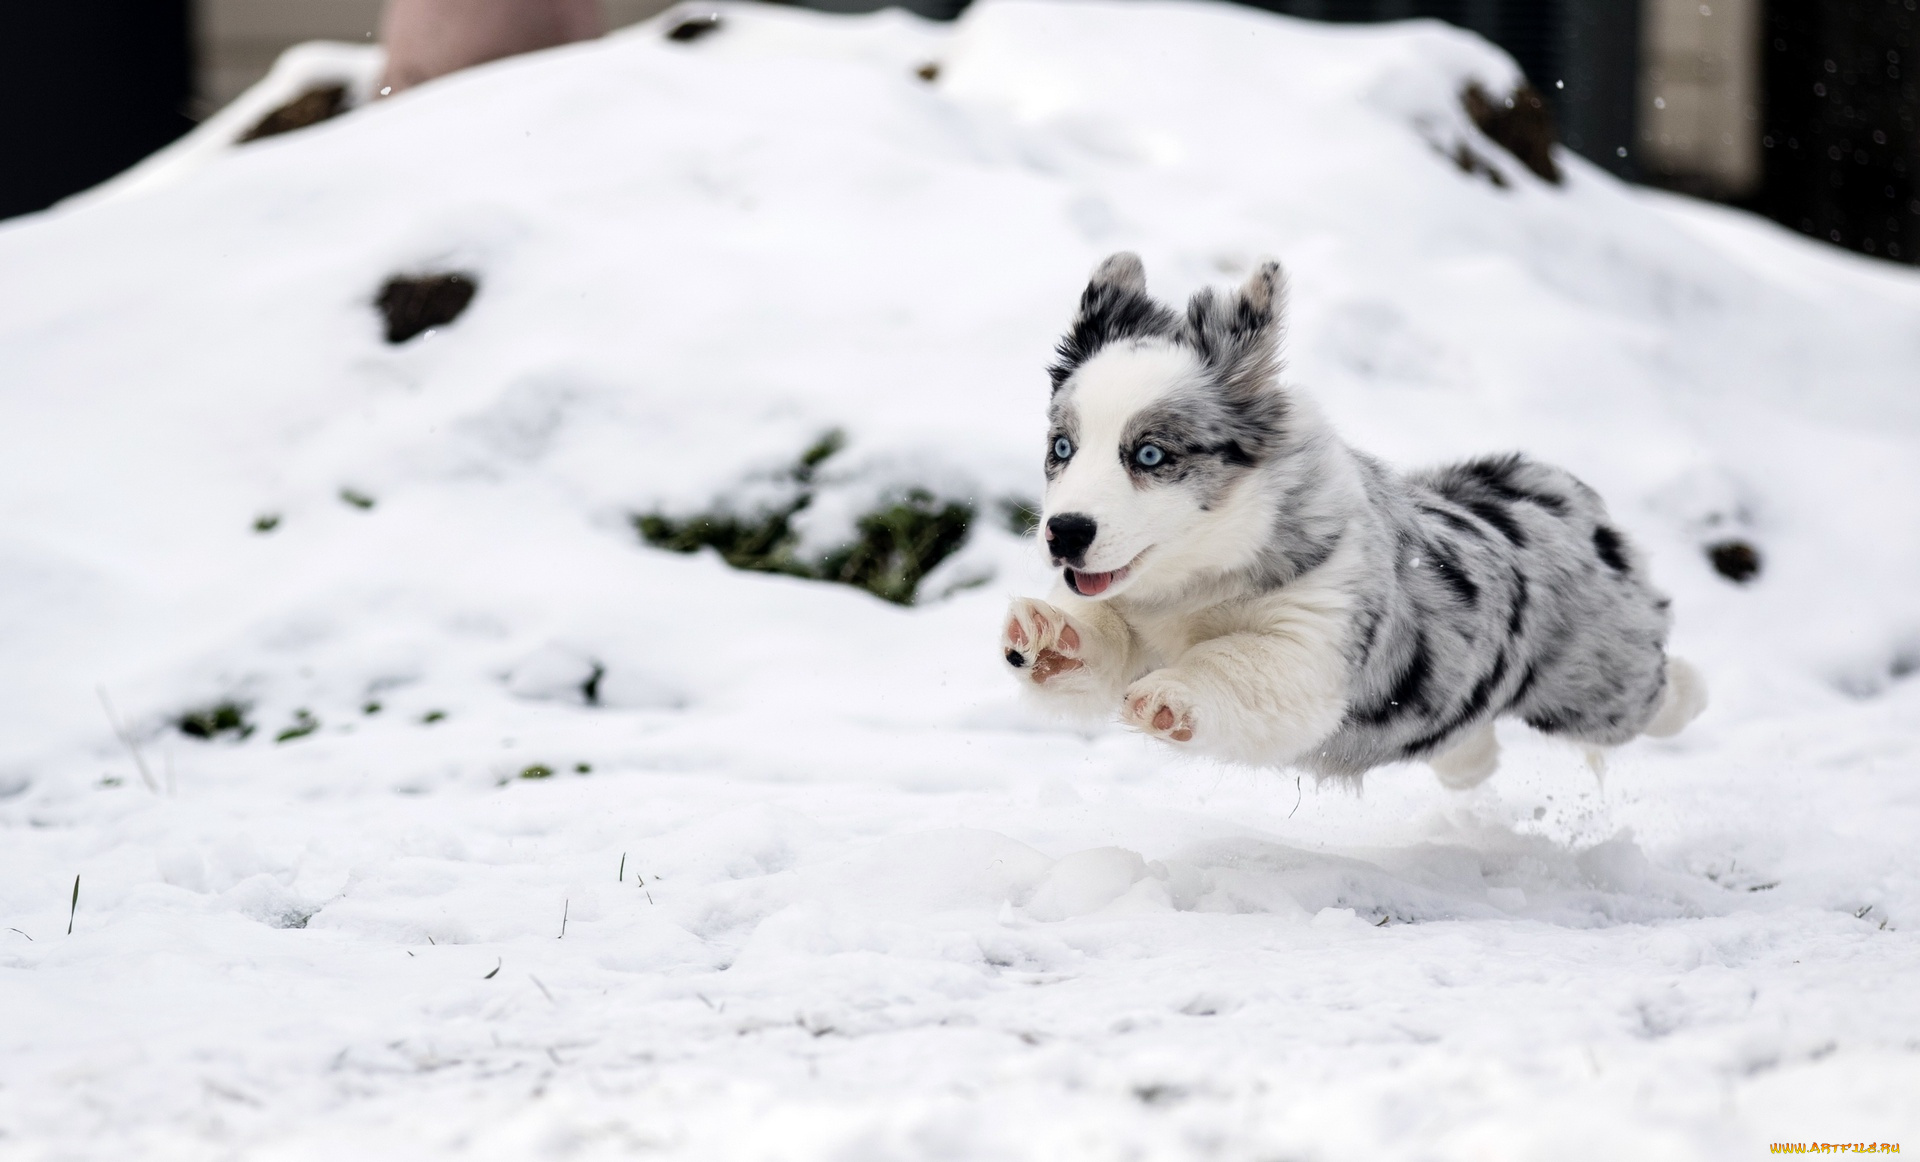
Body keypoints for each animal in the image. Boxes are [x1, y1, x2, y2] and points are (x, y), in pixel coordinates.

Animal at [998, 249, 1704, 783]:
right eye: (1062, 448)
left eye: (1149, 453)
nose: (1065, 534)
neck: (1196, 580)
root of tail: (1554, 489)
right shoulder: (1131, 617)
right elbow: (1101, 641)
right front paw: (1049, 635)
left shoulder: (1312, 646)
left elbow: (1235, 660)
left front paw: (1172, 695)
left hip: (1600, 683)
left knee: (1654, 690)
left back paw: (1692, 692)